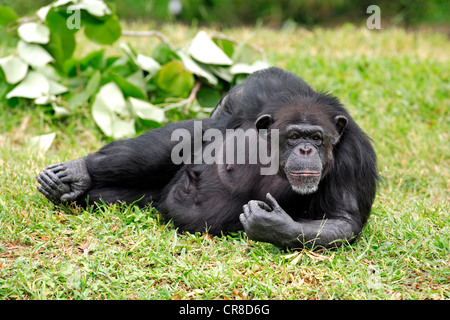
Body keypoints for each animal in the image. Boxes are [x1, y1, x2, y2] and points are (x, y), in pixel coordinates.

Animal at [37, 67, 378, 248]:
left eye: (316, 138)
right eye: (294, 136)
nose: (306, 149)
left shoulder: (354, 157)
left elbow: (343, 219)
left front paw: (273, 226)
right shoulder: (252, 99)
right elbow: (189, 136)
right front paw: (78, 172)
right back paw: (74, 179)